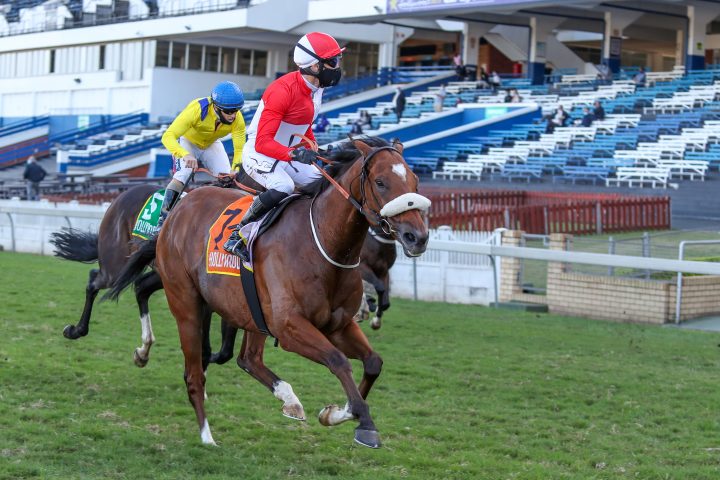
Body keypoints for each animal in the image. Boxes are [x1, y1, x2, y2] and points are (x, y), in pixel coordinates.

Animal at [107, 137, 430, 448]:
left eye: (415, 181)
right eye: (381, 182)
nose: (417, 237)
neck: (321, 243)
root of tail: (176, 211)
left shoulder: (338, 325)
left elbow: (373, 362)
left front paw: (339, 413)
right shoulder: (289, 327)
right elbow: (338, 360)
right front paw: (364, 423)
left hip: (249, 311)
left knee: (248, 359)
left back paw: (288, 399)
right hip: (186, 302)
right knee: (194, 374)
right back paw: (207, 435)